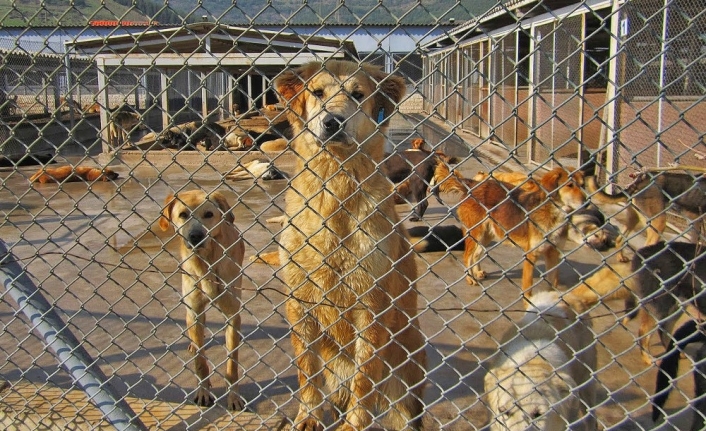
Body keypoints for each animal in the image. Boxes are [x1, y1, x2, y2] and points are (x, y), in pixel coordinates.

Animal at [158, 190, 246, 412]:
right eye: (183, 214)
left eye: (208, 214)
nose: (196, 236)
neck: (206, 261)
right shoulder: (195, 310)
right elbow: (200, 362)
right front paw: (203, 392)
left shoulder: (232, 313)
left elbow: (232, 364)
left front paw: (233, 397)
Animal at [272, 60, 424, 431]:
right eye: (317, 92)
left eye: (357, 95)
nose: (332, 121)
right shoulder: (298, 301)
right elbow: (307, 370)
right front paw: (308, 416)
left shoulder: (371, 304)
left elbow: (365, 376)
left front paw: (355, 423)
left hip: (406, 377)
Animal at [434, 165, 584, 296]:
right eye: (570, 185)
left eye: (582, 185)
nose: (585, 202)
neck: (554, 214)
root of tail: (472, 185)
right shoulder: (531, 255)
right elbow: (528, 287)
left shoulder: (554, 254)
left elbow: (553, 283)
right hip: (476, 233)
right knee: (467, 256)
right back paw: (470, 278)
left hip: (487, 235)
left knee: (476, 254)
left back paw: (477, 273)